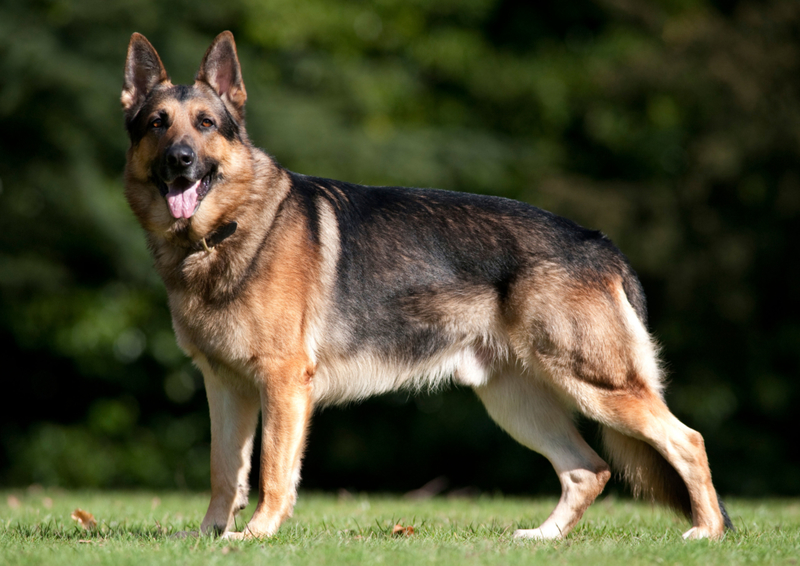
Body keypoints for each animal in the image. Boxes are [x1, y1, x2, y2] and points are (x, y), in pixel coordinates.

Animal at [123, 31, 732, 540]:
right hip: (516, 404)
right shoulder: (225, 388)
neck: (221, 235)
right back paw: (543, 539)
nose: (181, 161)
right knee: (589, 470)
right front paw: (207, 538)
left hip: (595, 386)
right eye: (158, 124)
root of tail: (600, 243)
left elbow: (272, 470)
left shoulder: (282, 384)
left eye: (205, 124)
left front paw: (255, 536)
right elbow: (224, 472)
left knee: (688, 441)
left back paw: (707, 533)